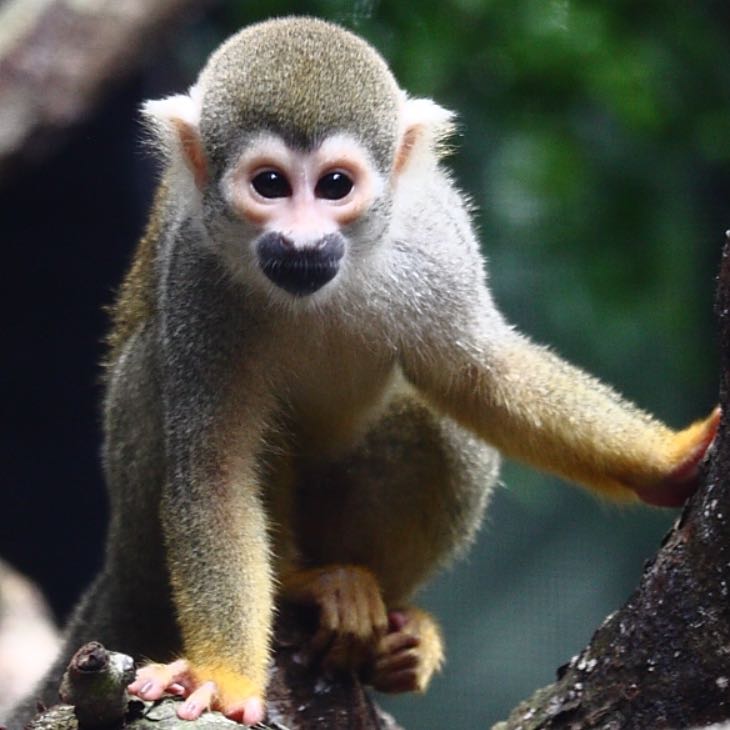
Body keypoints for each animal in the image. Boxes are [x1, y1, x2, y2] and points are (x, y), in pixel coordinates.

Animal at [8, 16, 719, 728]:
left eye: (334, 187)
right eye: (270, 185)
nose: (301, 241)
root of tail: (116, 564)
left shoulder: (435, 240)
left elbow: (482, 375)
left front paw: (669, 460)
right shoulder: (196, 274)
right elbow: (215, 473)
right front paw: (224, 679)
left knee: (437, 423)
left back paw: (392, 633)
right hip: (134, 501)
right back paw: (305, 583)